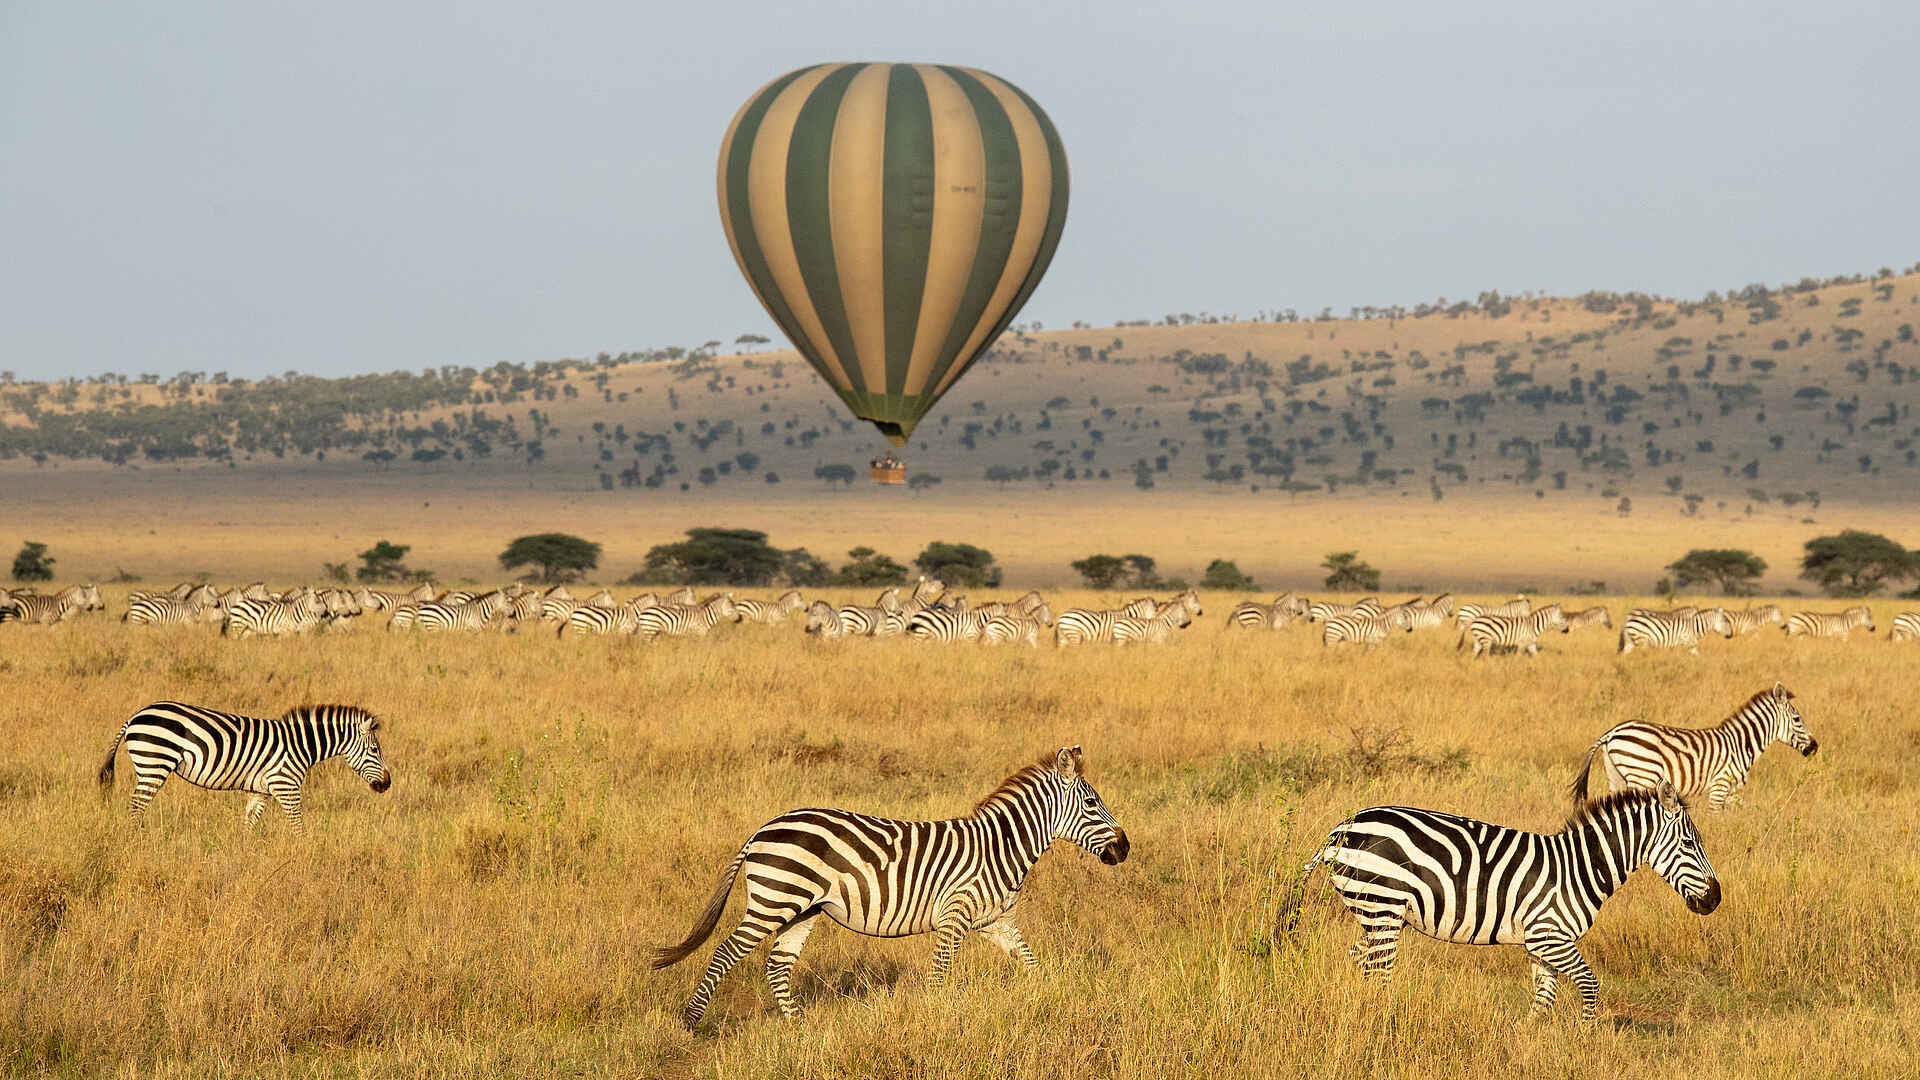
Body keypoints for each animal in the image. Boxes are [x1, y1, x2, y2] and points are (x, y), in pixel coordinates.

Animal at [97, 701, 392, 834]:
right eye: (374, 751)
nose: (387, 783)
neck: (300, 745)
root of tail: (135, 715)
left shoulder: (261, 790)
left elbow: (249, 824)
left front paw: (245, 854)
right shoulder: (286, 785)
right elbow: (298, 826)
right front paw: (304, 854)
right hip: (153, 763)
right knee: (137, 806)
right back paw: (136, 840)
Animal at [653, 745, 1128, 1027]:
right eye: (1091, 803)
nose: (1125, 848)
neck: (1001, 847)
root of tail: (761, 830)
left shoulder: (996, 922)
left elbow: (1031, 964)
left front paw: (1046, 999)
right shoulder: (955, 916)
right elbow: (939, 974)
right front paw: (936, 1021)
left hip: (802, 907)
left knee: (778, 963)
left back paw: (797, 1027)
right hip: (775, 899)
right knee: (726, 953)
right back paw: (692, 1022)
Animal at [1273, 783, 1719, 1022]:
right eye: (1689, 843)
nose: (1715, 899)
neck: (1579, 868)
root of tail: (1339, 829)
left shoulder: (1542, 943)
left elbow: (1544, 998)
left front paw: (1531, 1041)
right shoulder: (1550, 936)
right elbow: (1590, 984)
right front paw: (1586, 1037)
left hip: (1374, 912)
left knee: (1360, 963)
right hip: (1382, 906)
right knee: (1378, 975)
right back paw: (1381, 1024)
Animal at [1571, 682, 1817, 812]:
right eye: (1797, 719)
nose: (1814, 747)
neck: (1741, 744)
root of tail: (1611, 732)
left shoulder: (1731, 791)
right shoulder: (1720, 785)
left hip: (1617, 777)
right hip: (1641, 775)